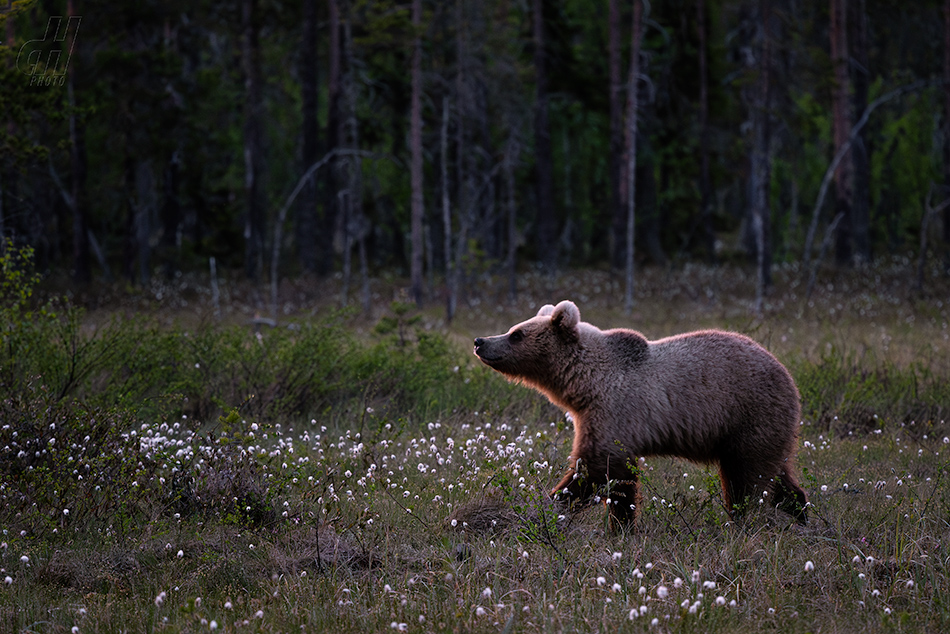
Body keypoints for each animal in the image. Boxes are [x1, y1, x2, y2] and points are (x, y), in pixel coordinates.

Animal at [472, 300, 808, 524]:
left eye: (517, 334)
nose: (480, 341)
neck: (586, 384)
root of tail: (788, 376)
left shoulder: (616, 413)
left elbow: (602, 472)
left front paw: (562, 504)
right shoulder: (594, 417)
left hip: (749, 415)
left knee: (746, 479)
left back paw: (742, 519)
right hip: (763, 430)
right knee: (778, 476)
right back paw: (801, 513)